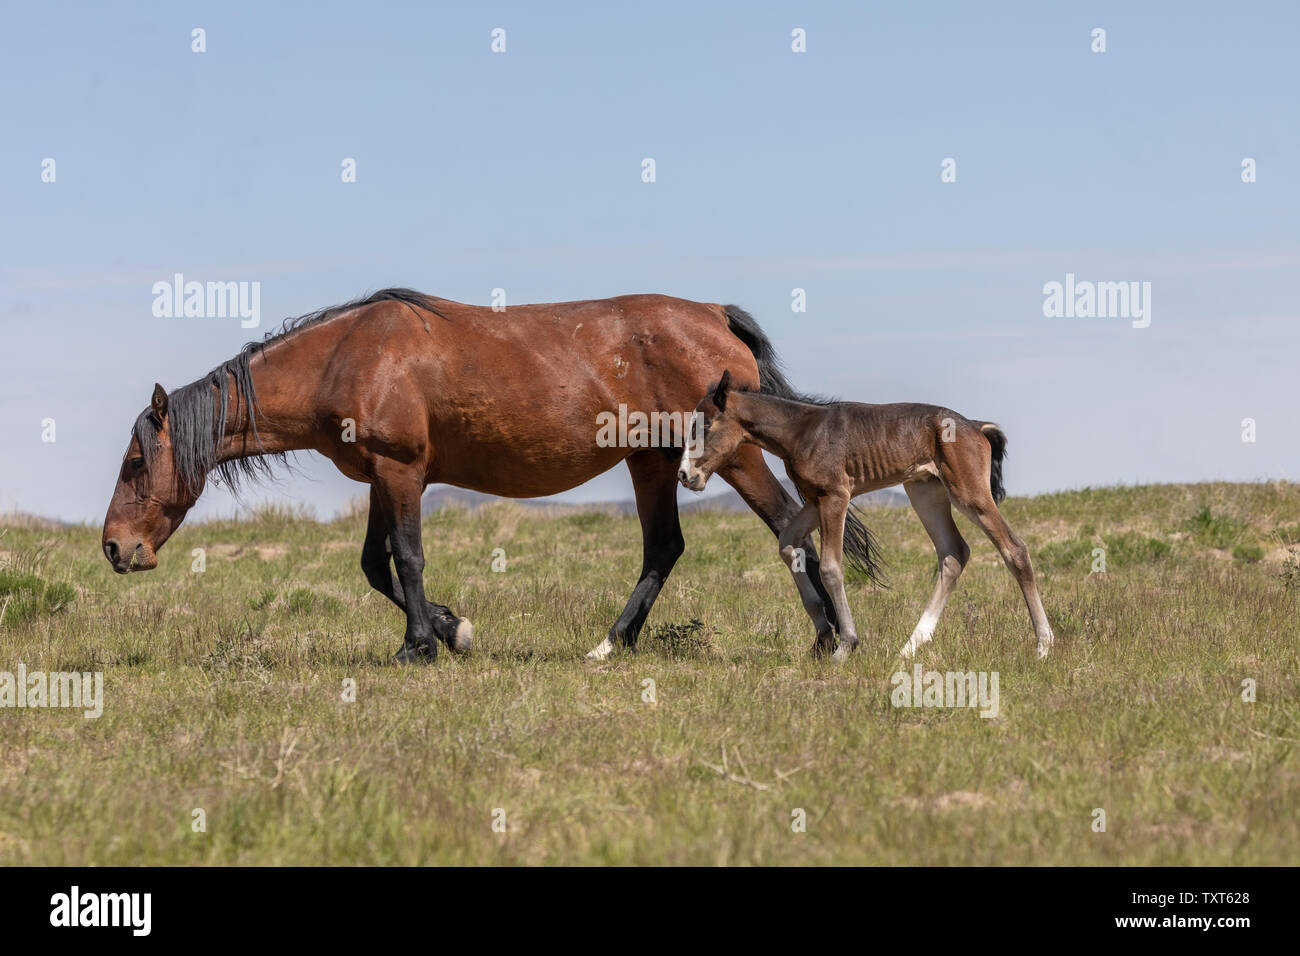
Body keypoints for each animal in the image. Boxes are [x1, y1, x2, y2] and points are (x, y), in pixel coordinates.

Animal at [101, 289, 884, 662]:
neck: (348, 356)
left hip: (734, 456)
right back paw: (612, 643)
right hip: (652, 462)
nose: (114, 547)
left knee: (785, 527)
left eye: (136, 461)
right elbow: (376, 565)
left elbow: (406, 558)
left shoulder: (402, 471)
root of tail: (715, 317)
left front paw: (422, 644)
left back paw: (825, 637)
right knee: (664, 549)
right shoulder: (384, 478)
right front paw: (450, 630)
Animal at [677, 370, 1055, 660]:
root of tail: (976, 427)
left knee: (1014, 548)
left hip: (969, 493)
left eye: (705, 426)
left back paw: (1043, 645)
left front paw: (845, 646)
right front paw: (822, 631)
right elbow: (787, 544)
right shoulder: (815, 500)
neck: (801, 431)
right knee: (953, 553)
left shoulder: (835, 497)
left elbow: (831, 568)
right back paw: (910, 646)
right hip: (925, 491)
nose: (685, 475)